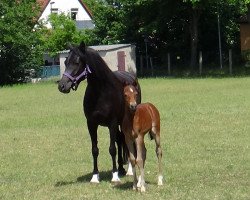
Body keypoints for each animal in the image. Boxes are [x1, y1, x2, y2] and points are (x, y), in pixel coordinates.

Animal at [57, 41, 142, 183]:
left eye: (77, 62)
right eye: (65, 62)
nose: (62, 86)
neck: (101, 91)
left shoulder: (112, 123)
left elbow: (112, 149)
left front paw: (114, 176)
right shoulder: (91, 123)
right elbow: (95, 150)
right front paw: (95, 176)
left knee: (127, 140)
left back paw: (129, 170)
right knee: (120, 139)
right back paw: (121, 168)